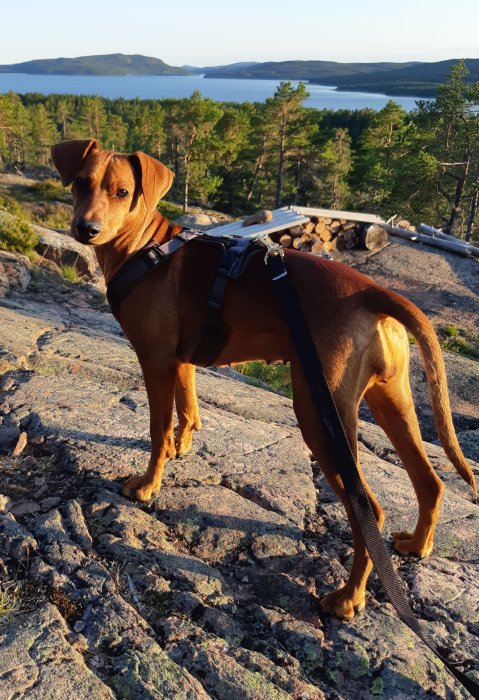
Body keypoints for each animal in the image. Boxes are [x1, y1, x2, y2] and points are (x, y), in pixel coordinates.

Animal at [50, 141, 478, 616]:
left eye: (123, 192)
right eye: (81, 182)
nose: (86, 229)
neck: (145, 249)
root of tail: (374, 291)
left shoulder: (156, 360)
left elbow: (158, 428)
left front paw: (146, 486)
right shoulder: (181, 361)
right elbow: (189, 409)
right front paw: (182, 447)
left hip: (318, 411)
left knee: (370, 509)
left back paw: (348, 598)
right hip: (391, 401)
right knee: (430, 481)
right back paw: (418, 545)